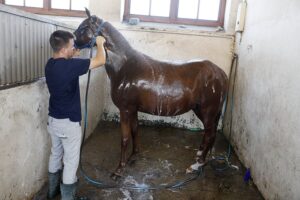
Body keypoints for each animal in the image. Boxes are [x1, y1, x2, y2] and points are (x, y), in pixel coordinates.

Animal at [74, 9, 227, 178]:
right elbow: (135, 131)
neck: (124, 66)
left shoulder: (125, 110)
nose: (73, 42)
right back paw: (201, 158)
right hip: (204, 111)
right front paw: (133, 156)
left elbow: (124, 138)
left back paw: (197, 164)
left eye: (84, 27)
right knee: (210, 135)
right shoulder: (133, 109)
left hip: (207, 112)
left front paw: (119, 169)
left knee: (209, 134)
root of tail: (221, 73)